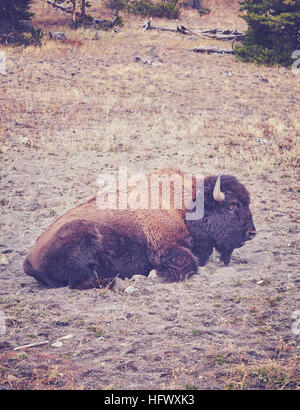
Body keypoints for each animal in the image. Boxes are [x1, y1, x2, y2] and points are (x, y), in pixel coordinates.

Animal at [23, 169, 255, 288]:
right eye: (232, 206)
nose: (251, 233)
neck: (185, 205)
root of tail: (28, 259)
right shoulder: (167, 250)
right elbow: (190, 264)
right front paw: (153, 274)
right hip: (83, 236)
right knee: (85, 281)